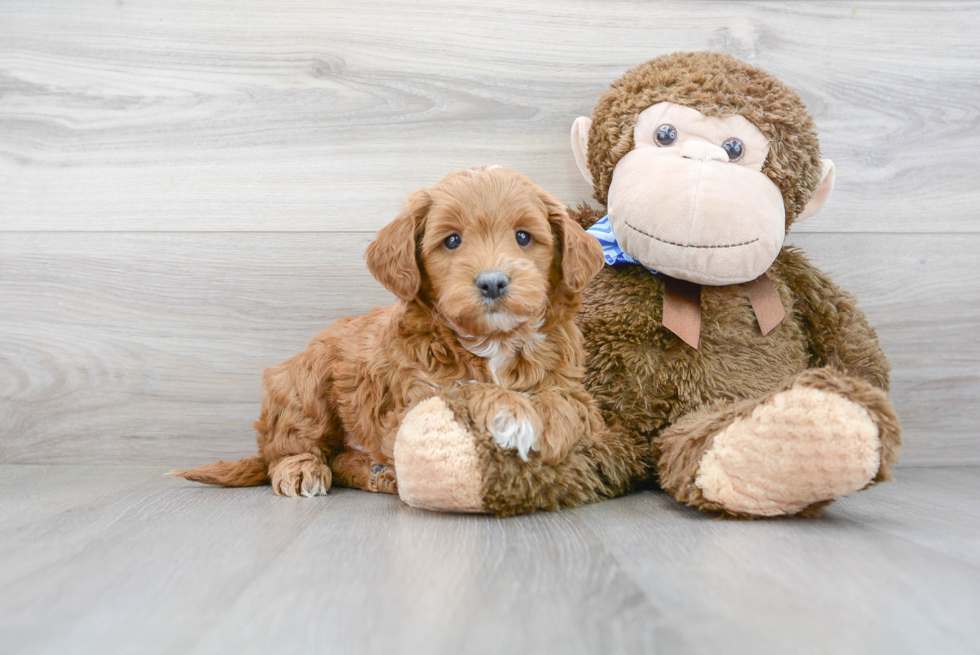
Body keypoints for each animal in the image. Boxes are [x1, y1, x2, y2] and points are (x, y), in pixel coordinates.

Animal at [172, 168, 608, 498]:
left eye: (523, 236)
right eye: (452, 240)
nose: (492, 283)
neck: (493, 343)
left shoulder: (572, 386)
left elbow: (570, 405)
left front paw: (547, 428)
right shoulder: (412, 399)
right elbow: (465, 389)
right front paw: (512, 413)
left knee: (339, 456)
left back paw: (376, 471)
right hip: (302, 382)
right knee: (289, 445)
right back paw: (301, 470)